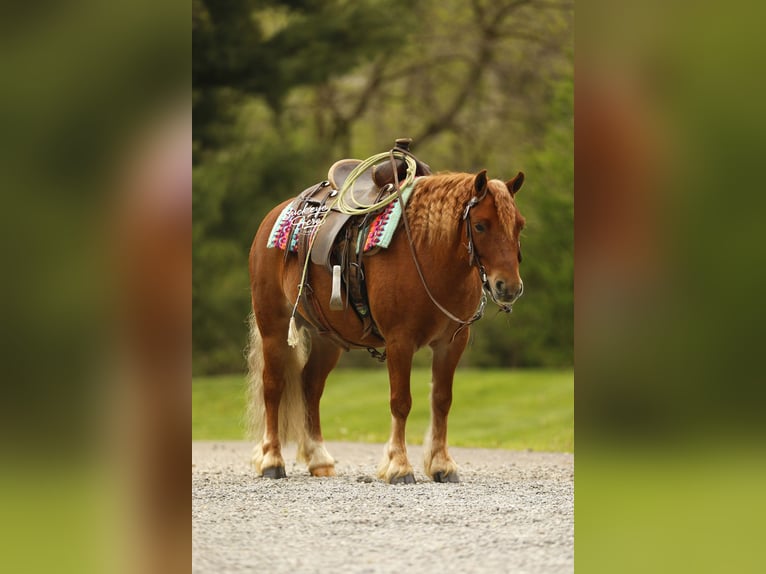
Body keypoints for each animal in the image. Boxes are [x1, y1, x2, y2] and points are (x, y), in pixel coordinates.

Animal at [246, 166, 526, 483]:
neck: (427, 255)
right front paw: (399, 466)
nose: (509, 287)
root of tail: (275, 215)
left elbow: (442, 400)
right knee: (273, 385)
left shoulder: (452, 343)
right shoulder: (399, 341)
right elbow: (400, 402)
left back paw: (319, 458)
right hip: (273, 327)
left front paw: (442, 464)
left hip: (326, 339)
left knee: (310, 386)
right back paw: (271, 459)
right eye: (480, 226)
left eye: (519, 226)